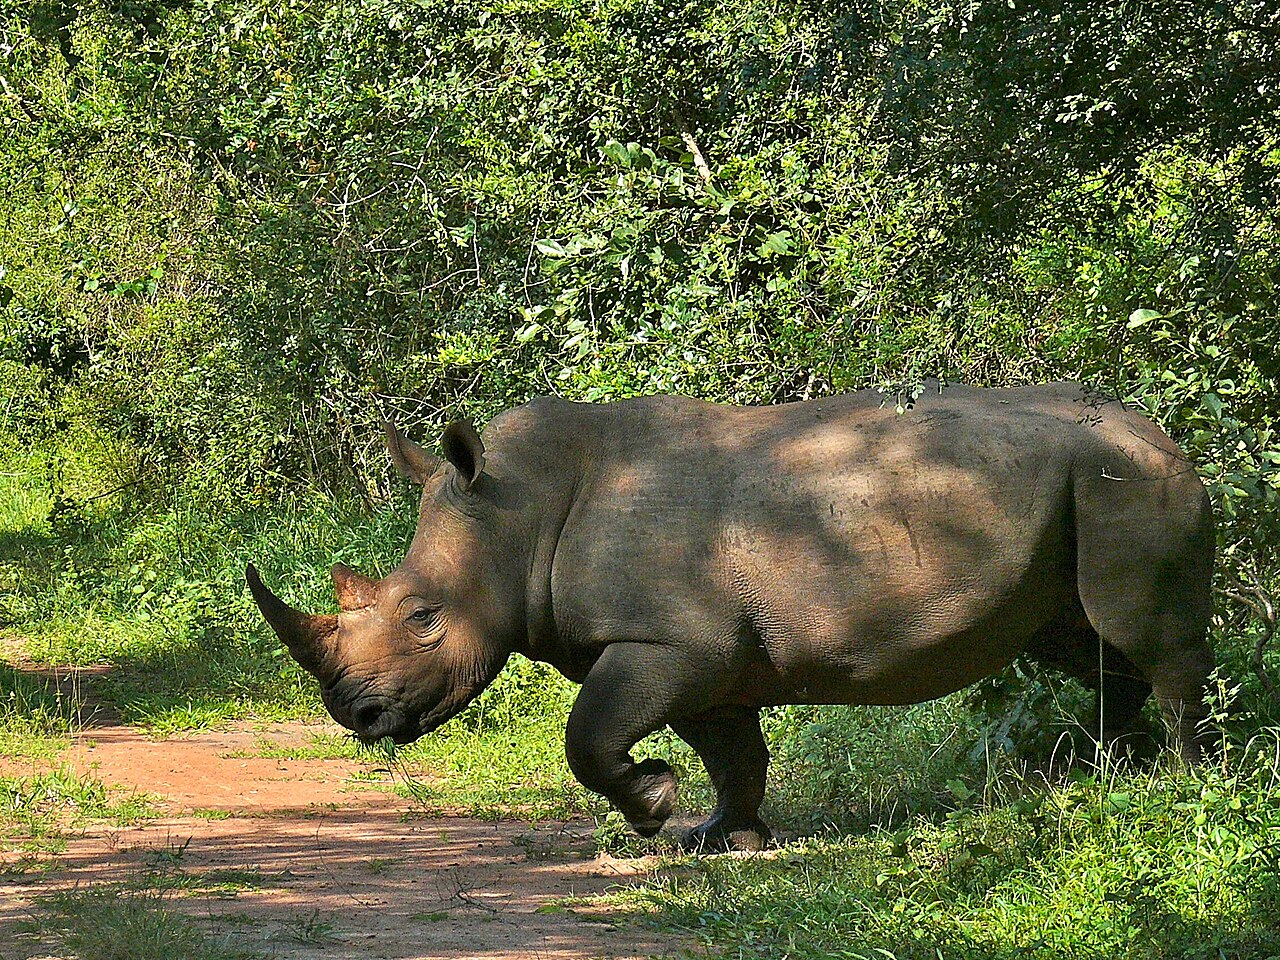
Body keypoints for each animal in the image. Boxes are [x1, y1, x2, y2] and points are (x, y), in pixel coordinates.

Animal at [247, 382, 1216, 849]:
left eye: (421, 616)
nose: (356, 714)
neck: (515, 514)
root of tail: (1165, 432)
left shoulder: (669, 641)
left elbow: (589, 734)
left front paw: (652, 807)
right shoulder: (706, 657)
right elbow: (733, 753)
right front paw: (720, 838)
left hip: (1125, 482)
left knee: (1147, 641)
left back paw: (1176, 782)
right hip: (1087, 487)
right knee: (1085, 644)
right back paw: (1099, 771)